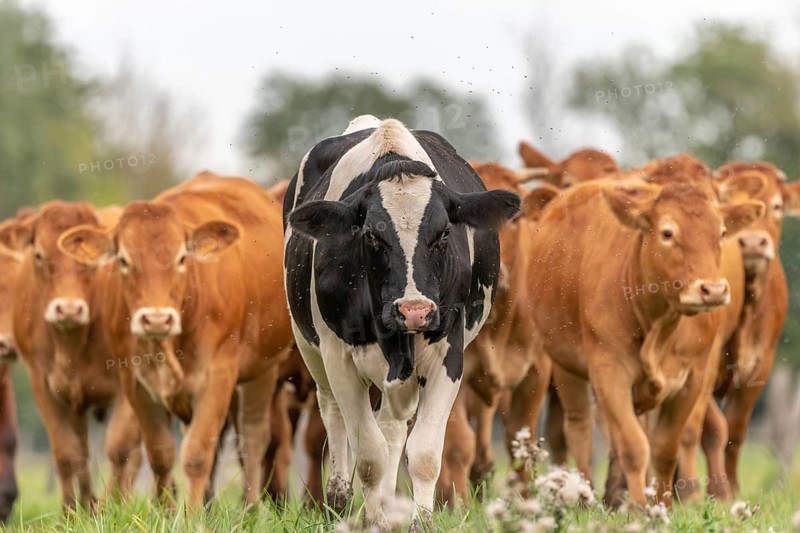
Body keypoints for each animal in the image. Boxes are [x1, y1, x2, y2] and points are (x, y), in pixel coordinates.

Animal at [0, 202, 143, 510]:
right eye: (39, 255)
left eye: (89, 260)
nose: (68, 309)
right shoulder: (43, 386)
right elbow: (67, 453)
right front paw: (71, 511)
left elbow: (119, 448)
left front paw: (111, 507)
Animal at [57, 173, 294, 508]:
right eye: (123, 260)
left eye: (182, 258)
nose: (157, 319)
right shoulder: (136, 385)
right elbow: (161, 456)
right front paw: (167, 511)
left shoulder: (217, 377)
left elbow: (196, 456)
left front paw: (191, 514)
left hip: (265, 369)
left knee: (253, 438)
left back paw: (249, 508)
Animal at [283, 116, 520, 529]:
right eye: (372, 236)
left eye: (444, 233)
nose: (414, 311)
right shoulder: (338, 358)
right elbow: (369, 455)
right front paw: (371, 520)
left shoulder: (448, 355)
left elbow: (423, 453)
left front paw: (419, 522)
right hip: (311, 350)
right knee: (333, 415)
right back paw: (340, 500)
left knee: (392, 428)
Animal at [528, 163, 764, 506]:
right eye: (667, 233)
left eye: (721, 232)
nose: (713, 289)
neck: (660, 325)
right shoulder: (609, 372)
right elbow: (634, 447)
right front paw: (640, 508)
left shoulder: (693, 378)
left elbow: (665, 448)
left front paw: (662, 505)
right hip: (564, 365)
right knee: (580, 430)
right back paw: (587, 496)